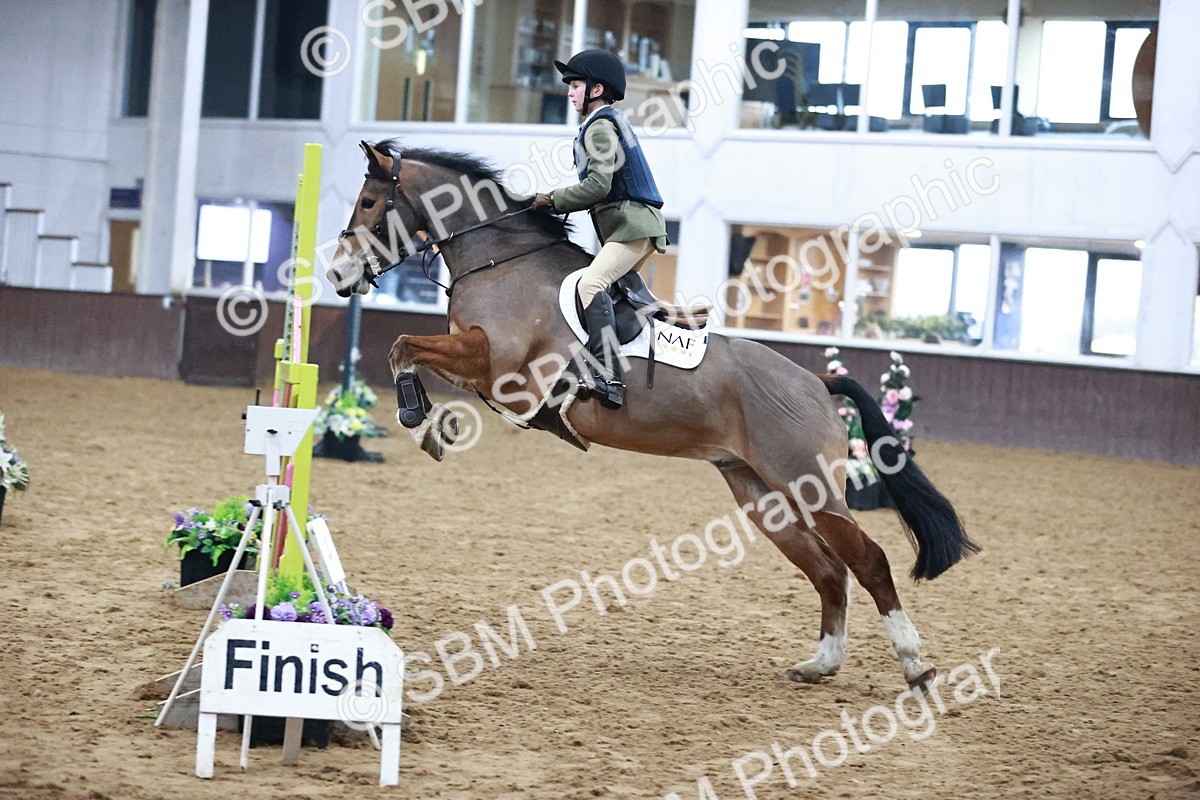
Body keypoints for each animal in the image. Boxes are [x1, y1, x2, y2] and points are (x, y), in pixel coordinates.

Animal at [328, 139, 979, 691]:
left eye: (368, 202)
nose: (336, 274)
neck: (500, 261)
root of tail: (815, 383)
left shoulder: (498, 367)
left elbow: (404, 345)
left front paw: (424, 421)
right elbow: (405, 348)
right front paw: (429, 421)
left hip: (808, 484)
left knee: (867, 561)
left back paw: (916, 666)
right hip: (762, 495)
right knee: (828, 571)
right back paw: (821, 664)